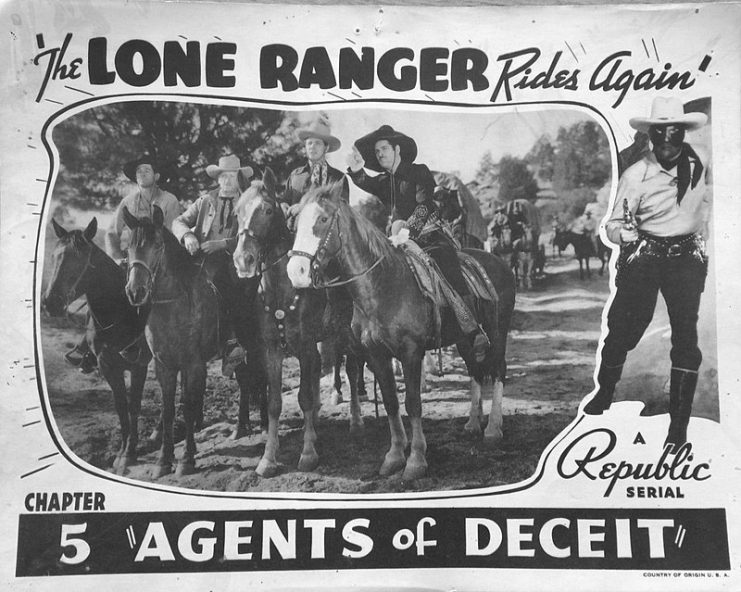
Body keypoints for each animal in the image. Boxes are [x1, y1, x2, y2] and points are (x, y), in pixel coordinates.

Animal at [42, 220, 152, 474]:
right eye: (53, 256)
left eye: (78, 258)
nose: (50, 303)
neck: (121, 310)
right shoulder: (107, 365)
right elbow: (121, 406)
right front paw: (122, 452)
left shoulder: (138, 365)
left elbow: (134, 405)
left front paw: (129, 454)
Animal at [125, 206, 264, 478]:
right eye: (129, 247)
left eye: (157, 245)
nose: (135, 292)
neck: (174, 304)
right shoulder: (164, 366)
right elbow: (168, 410)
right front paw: (163, 460)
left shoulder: (193, 365)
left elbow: (188, 407)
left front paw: (186, 459)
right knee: (244, 380)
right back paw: (240, 427)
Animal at [231, 169, 364, 478]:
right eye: (236, 212)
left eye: (268, 210)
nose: (243, 260)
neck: (283, 287)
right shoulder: (272, 349)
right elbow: (275, 403)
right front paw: (268, 458)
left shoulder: (304, 345)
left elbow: (303, 396)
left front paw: (308, 454)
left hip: (345, 335)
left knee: (351, 372)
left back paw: (355, 421)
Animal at [284, 184, 516, 480]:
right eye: (295, 223)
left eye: (323, 219)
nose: (296, 272)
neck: (384, 285)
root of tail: (500, 263)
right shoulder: (377, 355)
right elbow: (392, 403)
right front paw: (394, 456)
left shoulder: (411, 352)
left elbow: (413, 403)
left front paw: (416, 460)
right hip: (466, 339)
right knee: (475, 369)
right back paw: (473, 423)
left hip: (498, 330)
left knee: (498, 370)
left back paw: (493, 429)